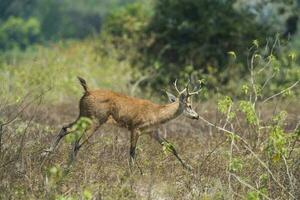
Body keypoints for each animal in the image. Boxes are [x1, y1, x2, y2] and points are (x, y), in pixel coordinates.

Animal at [47, 76, 202, 169]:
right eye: (189, 105)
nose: (197, 116)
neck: (156, 113)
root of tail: (87, 91)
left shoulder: (152, 132)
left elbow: (171, 147)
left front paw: (189, 168)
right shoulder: (135, 128)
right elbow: (132, 152)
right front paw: (131, 173)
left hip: (83, 115)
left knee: (66, 128)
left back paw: (48, 153)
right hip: (95, 119)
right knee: (78, 142)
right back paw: (67, 167)